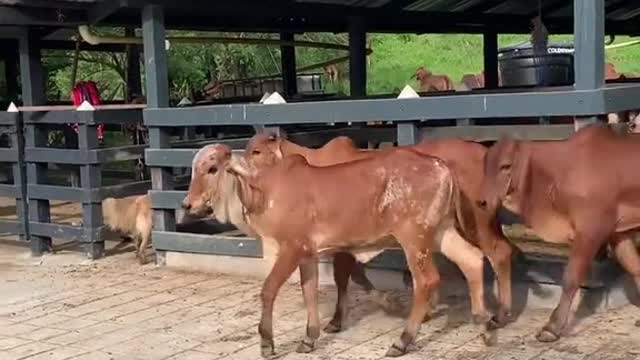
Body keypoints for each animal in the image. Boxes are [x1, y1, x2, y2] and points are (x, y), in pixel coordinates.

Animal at [478, 125, 640, 344]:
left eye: (505, 166)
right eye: (485, 165)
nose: (482, 202)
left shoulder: (590, 232)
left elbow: (571, 278)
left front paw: (552, 327)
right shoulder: (618, 233)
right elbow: (635, 267)